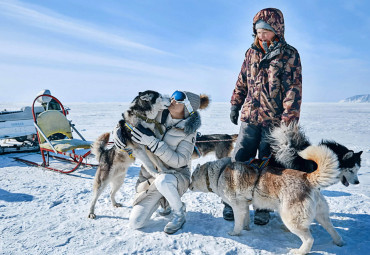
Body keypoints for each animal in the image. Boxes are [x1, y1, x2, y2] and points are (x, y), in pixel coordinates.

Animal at [88, 90, 171, 219]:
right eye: (161, 96)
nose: (171, 99)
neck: (143, 118)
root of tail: (104, 153)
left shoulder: (149, 147)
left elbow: (157, 161)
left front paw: (165, 170)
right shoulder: (139, 150)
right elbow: (149, 164)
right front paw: (156, 174)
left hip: (119, 180)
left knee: (111, 192)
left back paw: (115, 204)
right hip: (103, 181)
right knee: (94, 198)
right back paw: (91, 212)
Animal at [189, 144, 346, 254]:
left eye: (192, 178)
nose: (188, 186)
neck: (218, 173)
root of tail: (307, 178)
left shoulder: (237, 207)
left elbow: (237, 224)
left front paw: (235, 233)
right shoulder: (244, 206)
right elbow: (245, 220)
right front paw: (246, 229)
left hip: (292, 220)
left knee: (309, 239)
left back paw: (299, 251)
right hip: (321, 215)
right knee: (332, 230)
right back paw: (339, 242)